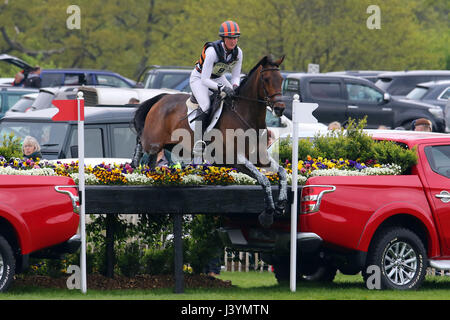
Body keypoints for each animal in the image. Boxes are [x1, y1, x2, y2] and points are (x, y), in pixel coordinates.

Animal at [134, 55, 288, 226]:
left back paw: (150, 174)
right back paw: (134, 165)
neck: (246, 115)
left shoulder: (259, 157)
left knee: (151, 161)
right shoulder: (237, 159)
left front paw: (281, 204)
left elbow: (282, 172)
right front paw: (268, 213)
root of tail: (162, 98)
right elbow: (264, 179)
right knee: (141, 141)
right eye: (266, 79)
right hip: (153, 141)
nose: (280, 108)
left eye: (281, 79)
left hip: (168, 144)